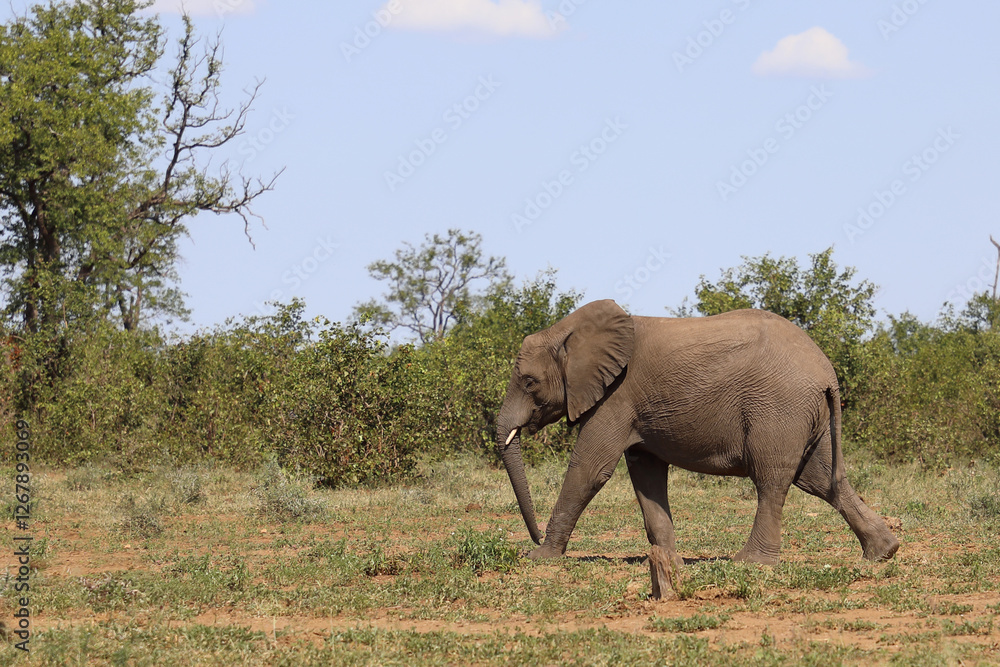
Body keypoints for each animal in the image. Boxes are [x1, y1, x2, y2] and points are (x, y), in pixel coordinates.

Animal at [496, 300, 899, 565]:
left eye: (529, 382)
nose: (533, 536)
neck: (568, 330)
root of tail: (827, 372)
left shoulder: (616, 397)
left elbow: (590, 470)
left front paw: (540, 557)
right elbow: (646, 474)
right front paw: (666, 560)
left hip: (778, 409)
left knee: (772, 479)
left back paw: (749, 562)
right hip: (807, 414)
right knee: (823, 480)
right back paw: (882, 554)